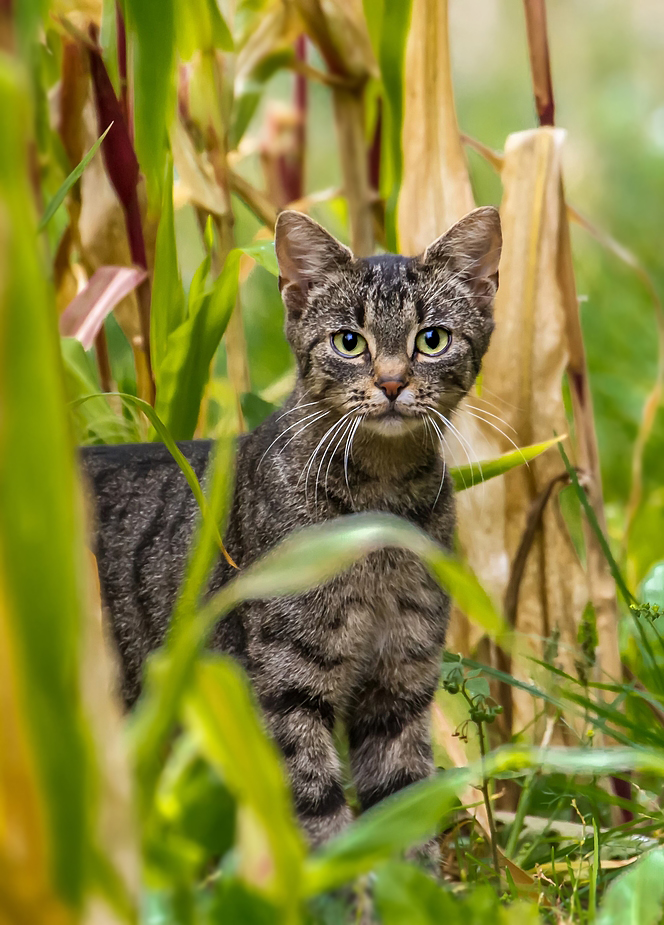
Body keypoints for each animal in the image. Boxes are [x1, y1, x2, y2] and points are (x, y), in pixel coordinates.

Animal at [81, 208, 498, 844]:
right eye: (350, 342)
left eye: (432, 339)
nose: (393, 383)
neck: (381, 506)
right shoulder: (282, 690)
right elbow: (316, 815)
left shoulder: (400, 683)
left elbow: (400, 817)